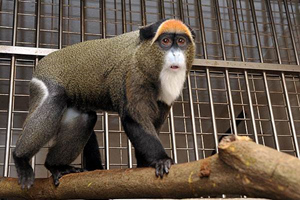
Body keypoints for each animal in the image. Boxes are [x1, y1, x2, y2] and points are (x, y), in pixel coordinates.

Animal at [11, 18, 196, 189]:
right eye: (165, 41)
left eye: (181, 41)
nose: (176, 55)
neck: (145, 55)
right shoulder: (133, 74)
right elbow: (134, 118)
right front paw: (161, 159)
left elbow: (153, 124)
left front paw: (144, 164)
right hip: (45, 82)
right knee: (53, 100)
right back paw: (21, 159)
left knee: (84, 118)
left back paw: (57, 166)